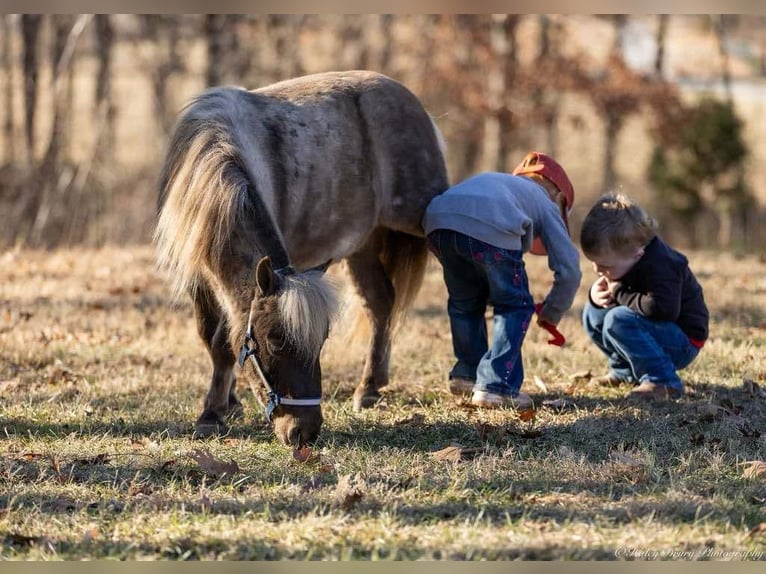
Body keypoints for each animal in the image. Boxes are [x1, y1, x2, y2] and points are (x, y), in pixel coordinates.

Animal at [154, 72, 450, 448]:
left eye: (321, 342)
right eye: (275, 341)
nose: (304, 431)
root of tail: (414, 104)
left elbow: (224, 337)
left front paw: (214, 412)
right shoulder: (199, 277)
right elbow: (215, 338)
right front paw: (222, 408)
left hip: (422, 223)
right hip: (363, 246)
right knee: (381, 304)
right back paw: (369, 389)